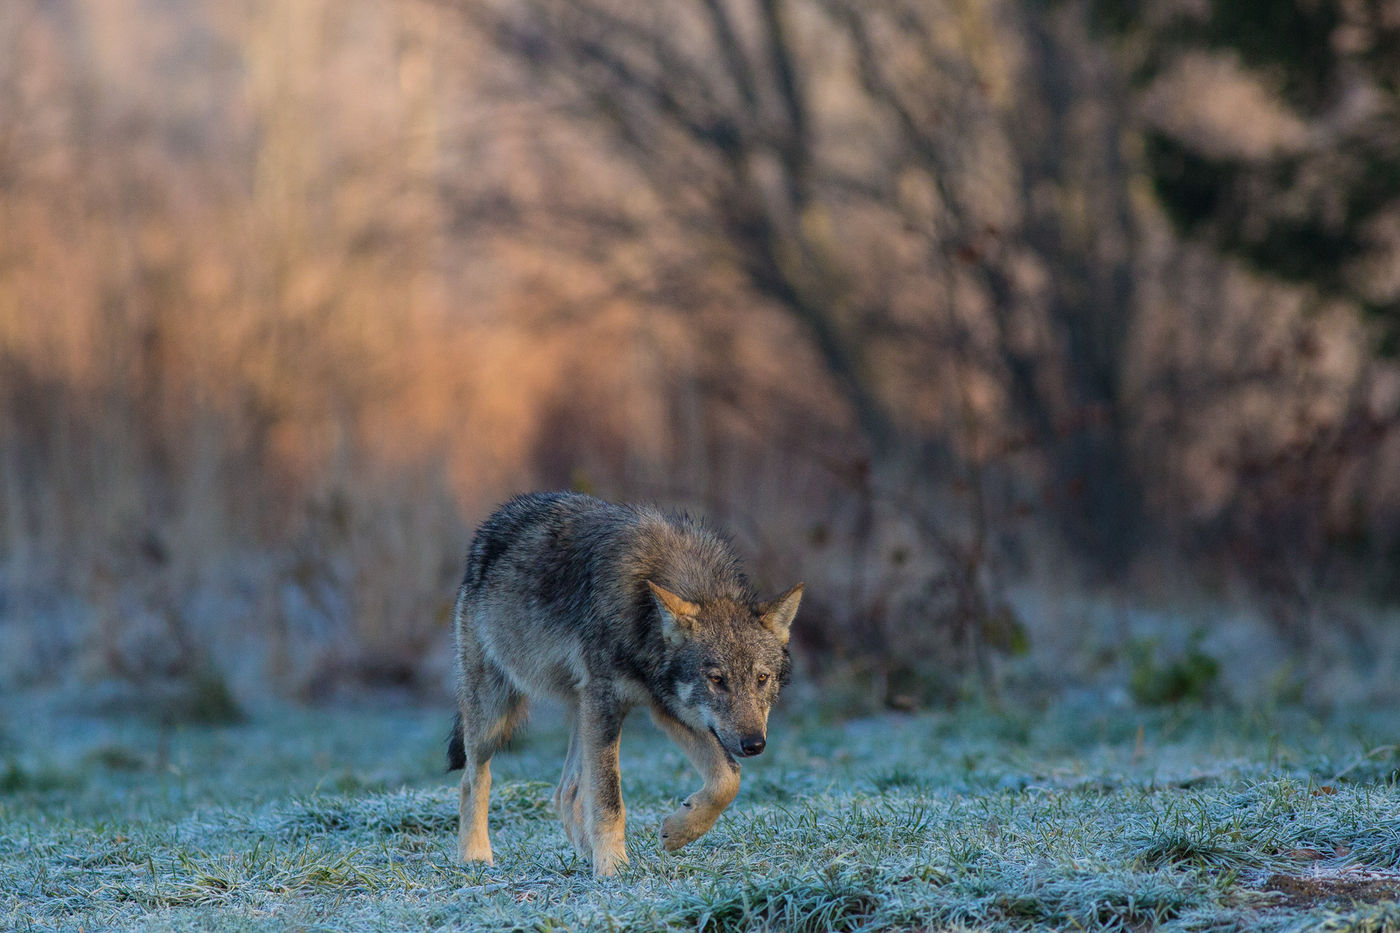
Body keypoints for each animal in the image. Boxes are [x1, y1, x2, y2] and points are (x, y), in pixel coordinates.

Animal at [442, 490, 806, 874]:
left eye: (762, 678)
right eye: (717, 680)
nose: (754, 744)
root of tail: (491, 526)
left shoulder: (666, 705)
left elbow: (728, 779)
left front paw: (677, 832)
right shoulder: (609, 702)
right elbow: (609, 799)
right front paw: (613, 869)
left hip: (581, 711)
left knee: (566, 791)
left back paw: (586, 854)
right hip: (495, 716)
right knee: (473, 779)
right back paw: (475, 856)